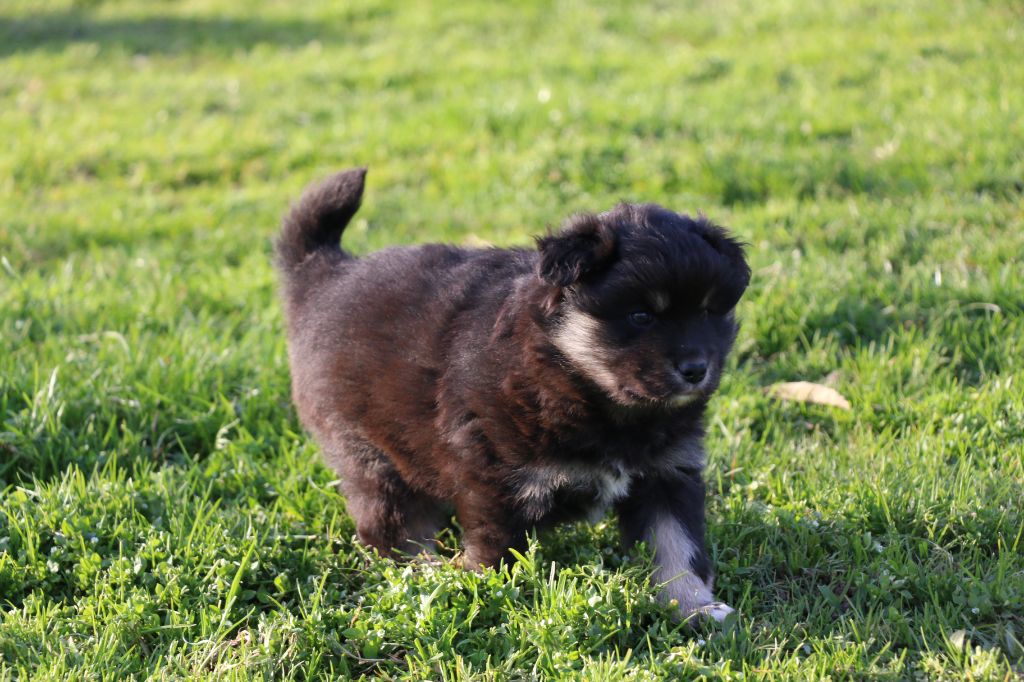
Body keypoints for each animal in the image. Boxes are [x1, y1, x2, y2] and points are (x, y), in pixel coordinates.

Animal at [276, 168, 750, 621]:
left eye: (709, 311)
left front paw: (695, 609)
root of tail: (325, 276)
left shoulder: (667, 473)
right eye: (641, 316)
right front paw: (487, 595)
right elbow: (497, 552)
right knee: (390, 527)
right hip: (371, 452)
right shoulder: (496, 478)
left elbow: (676, 548)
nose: (696, 370)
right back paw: (428, 574)